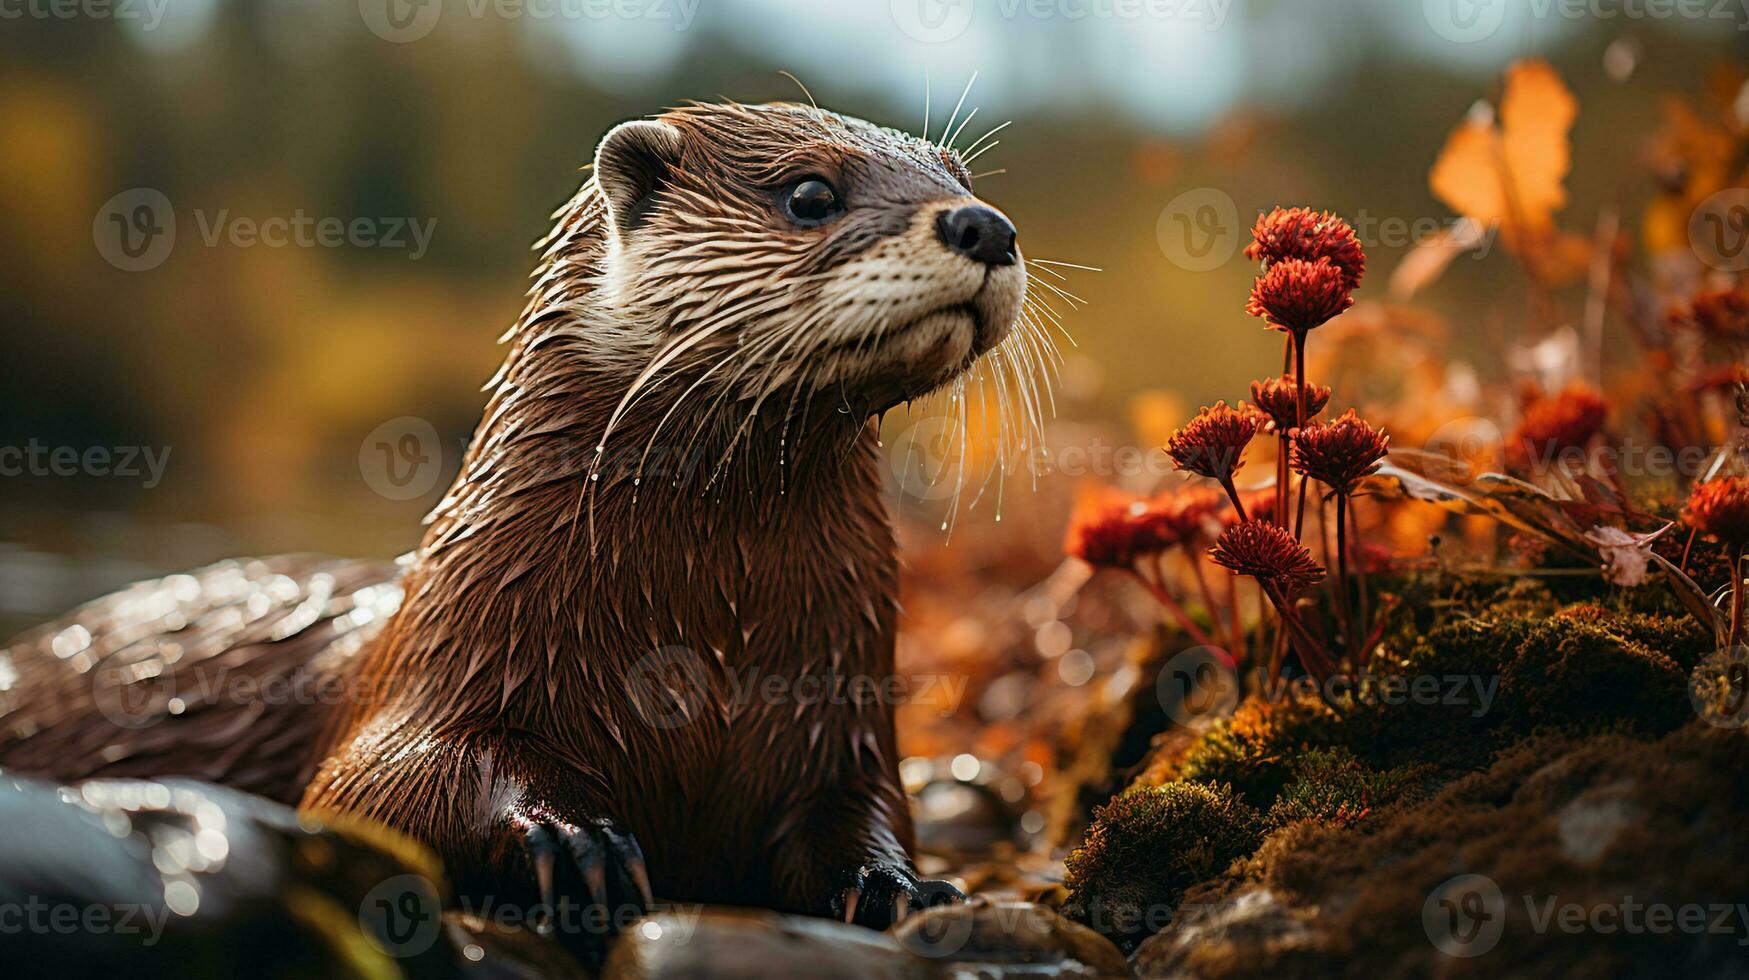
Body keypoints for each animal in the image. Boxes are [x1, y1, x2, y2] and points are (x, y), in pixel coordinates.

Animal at [0, 103, 1028, 938]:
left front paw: (900, 886)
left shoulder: (839, 714)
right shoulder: (441, 665)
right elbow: (376, 787)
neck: (701, 643)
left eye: (965, 181)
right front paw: (573, 842)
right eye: (810, 193)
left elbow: (858, 815)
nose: (986, 225)